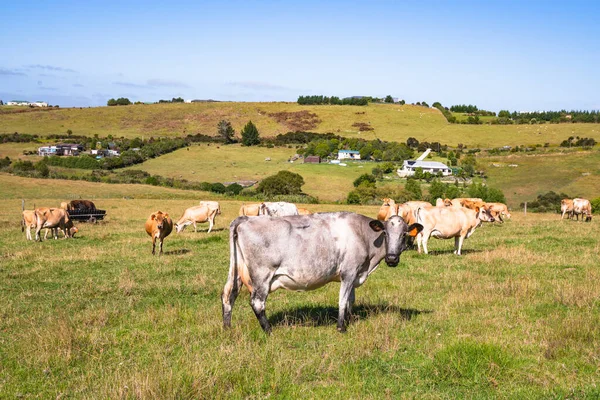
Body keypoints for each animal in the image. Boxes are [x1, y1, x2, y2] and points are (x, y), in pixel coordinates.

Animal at [220, 212, 422, 334]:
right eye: (386, 234)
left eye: (404, 234)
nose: (392, 258)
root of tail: (245, 218)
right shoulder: (349, 272)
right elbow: (342, 301)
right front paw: (341, 327)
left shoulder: (355, 274)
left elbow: (350, 301)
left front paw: (349, 321)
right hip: (262, 276)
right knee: (257, 302)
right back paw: (269, 331)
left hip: (237, 272)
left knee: (228, 296)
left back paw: (227, 328)